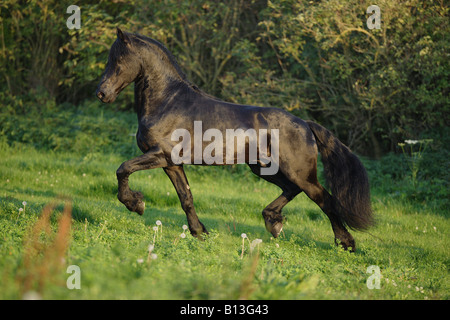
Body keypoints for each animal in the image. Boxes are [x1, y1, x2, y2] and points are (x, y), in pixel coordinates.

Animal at [95, 28, 372, 251]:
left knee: (325, 199)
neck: (168, 103)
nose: (102, 93)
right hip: (264, 168)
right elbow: (186, 198)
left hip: (299, 173)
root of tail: (305, 124)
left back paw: (345, 243)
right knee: (292, 190)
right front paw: (200, 232)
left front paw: (136, 204)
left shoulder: (159, 154)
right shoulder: (172, 163)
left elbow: (123, 169)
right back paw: (273, 222)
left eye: (119, 60)